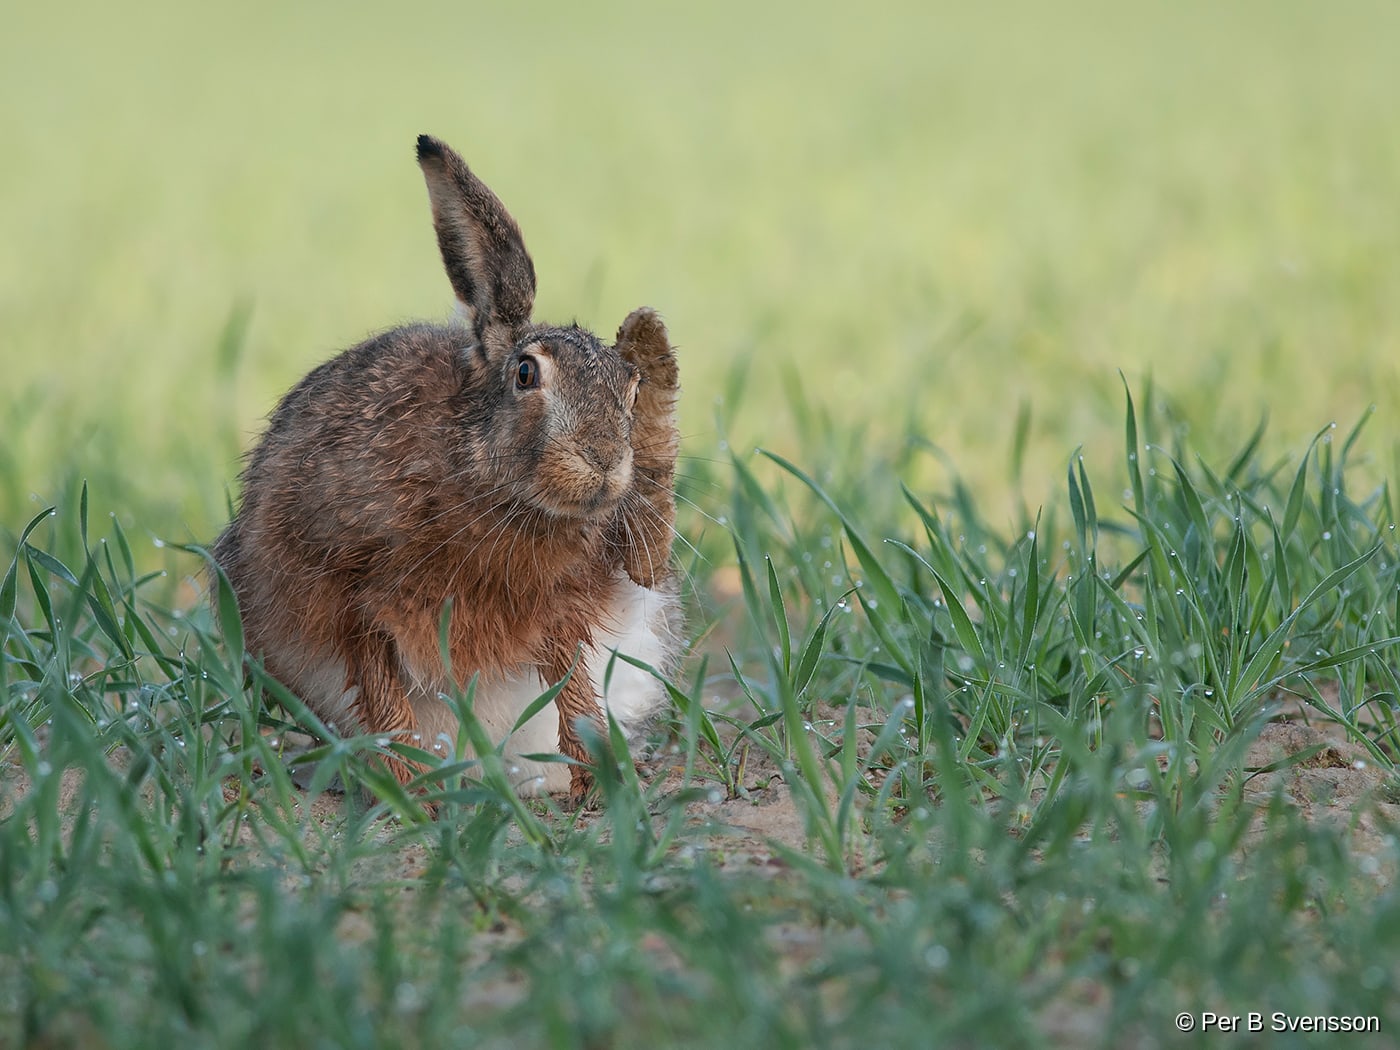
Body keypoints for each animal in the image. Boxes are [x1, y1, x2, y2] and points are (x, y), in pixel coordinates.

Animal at [212, 135, 681, 805]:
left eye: (630, 387)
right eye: (525, 374)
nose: (604, 463)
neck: (493, 488)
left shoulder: (568, 604)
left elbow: (573, 689)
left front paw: (599, 785)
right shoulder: (357, 596)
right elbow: (382, 692)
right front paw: (411, 795)